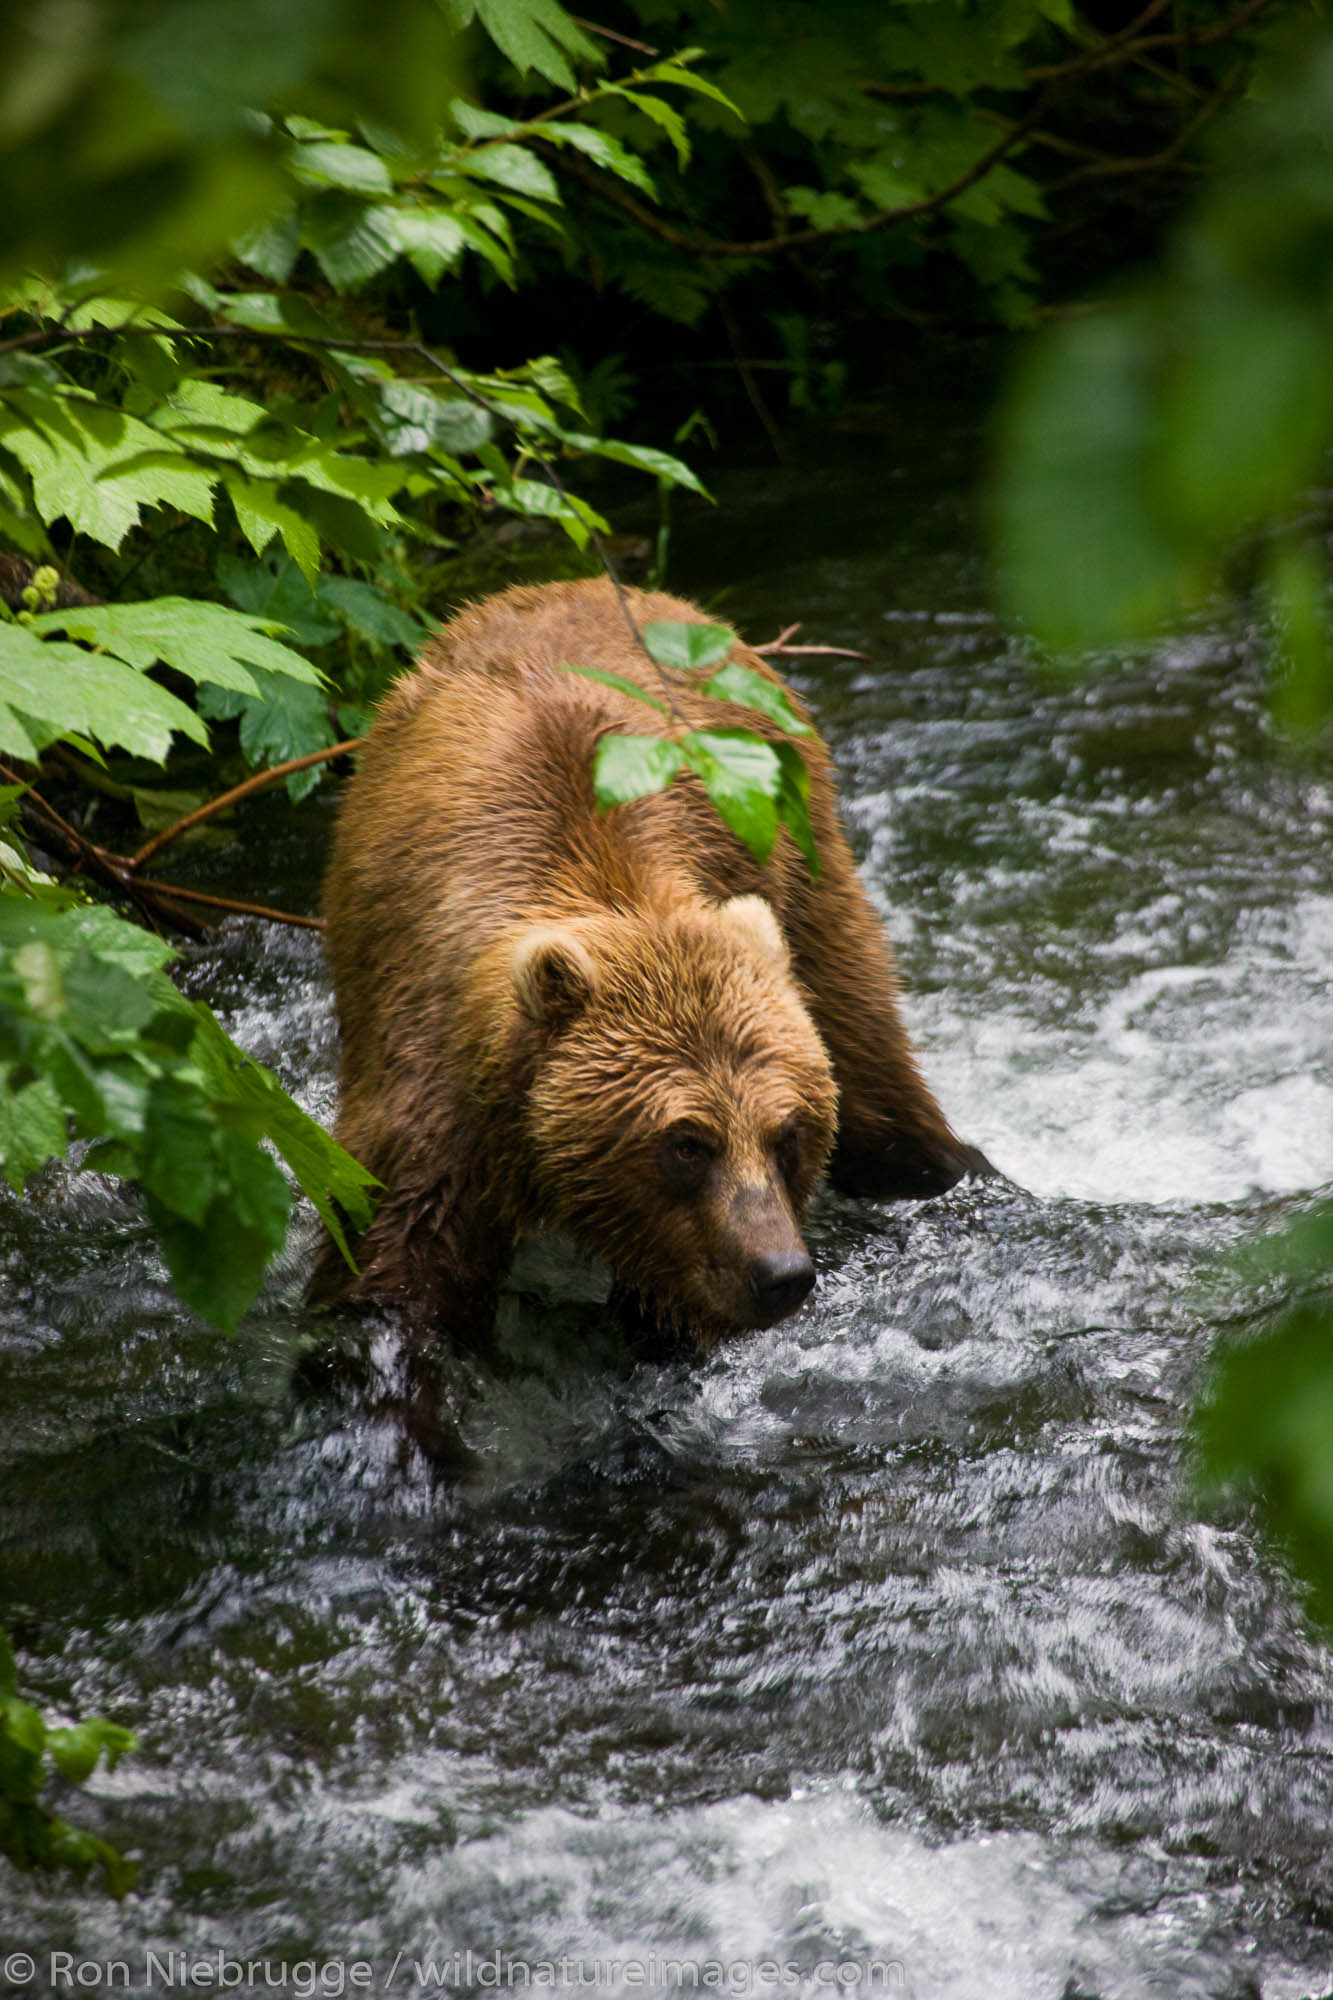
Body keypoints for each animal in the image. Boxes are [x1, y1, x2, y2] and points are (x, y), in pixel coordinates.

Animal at [312, 580, 976, 1360]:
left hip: (804, 867)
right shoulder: (436, 1078)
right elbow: (398, 1271)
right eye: (687, 1142)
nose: (780, 1273)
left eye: (787, 1133)